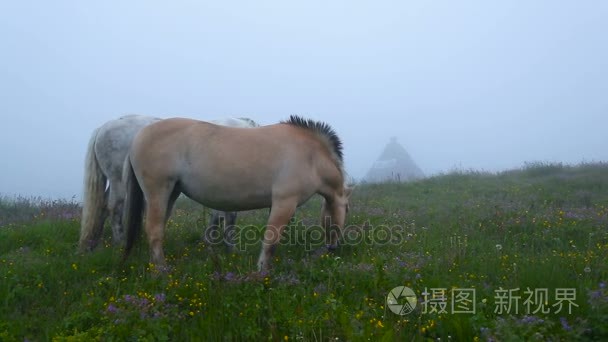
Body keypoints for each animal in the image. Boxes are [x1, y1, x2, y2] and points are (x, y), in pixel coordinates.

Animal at [79, 115, 258, 251]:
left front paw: (211, 242)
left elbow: (218, 215)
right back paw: (120, 242)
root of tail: (103, 128)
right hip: (118, 181)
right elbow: (228, 217)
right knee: (114, 207)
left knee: (102, 207)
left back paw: (94, 244)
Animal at [123, 116, 352, 272]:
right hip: (158, 192)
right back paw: (162, 271)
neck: (310, 156)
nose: (333, 248)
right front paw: (262, 272)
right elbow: (271, 241)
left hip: (171, 193)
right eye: (347, 210)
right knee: (154, 230)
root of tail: (138, 136)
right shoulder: (285, 202)